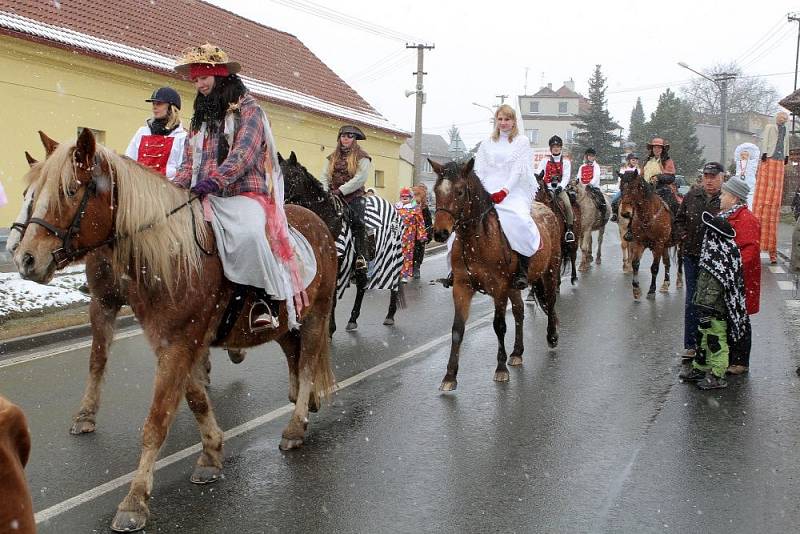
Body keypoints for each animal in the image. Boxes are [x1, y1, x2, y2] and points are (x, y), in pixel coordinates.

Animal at [12, 129, 338, 532]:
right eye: (31, 194)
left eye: (71, 190)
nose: (26, 259)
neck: (172, 256)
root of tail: (315, 220)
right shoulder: (173, 341)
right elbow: (194, 398)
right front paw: (211, 453)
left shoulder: (180, 345)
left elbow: (156, 420)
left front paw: (135, 500)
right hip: (289, 318)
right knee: (294, 352)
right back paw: (301, 402)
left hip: (317, 313)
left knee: (307, 363)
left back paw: (296, 426)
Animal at [282, 152, 406, 336]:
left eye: (294, 175)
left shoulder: (337, 265)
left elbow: (332, 298)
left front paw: (329, 329)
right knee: (362, 286)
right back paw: (353, 319)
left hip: (393, 256)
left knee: (394, 285)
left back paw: (390, 315)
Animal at [428, 158, 560, 390]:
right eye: (436, 191)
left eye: (460, 191)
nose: (440, 233)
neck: (476, 240)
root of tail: (546, 209)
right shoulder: (462, 287)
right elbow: (457, 329)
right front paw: (450, 376)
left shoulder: (499, 288)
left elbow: (499, 326)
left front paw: (500, 369)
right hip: (514, 287)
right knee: (519, 311)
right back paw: (517, 352)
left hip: (550, 272)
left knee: (551, 303)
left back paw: (552, 337)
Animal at [616, 170, 680, 300]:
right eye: (621, 188)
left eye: (633, 188)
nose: (625, 213)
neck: (648, 216)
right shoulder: (639, 243)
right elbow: (635, 264)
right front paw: (636, 289)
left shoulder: (658, 245)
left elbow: (654, 267)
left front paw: (651, 290)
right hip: (665, 246)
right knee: (667, 262)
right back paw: (665, 284)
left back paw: (679, 282)